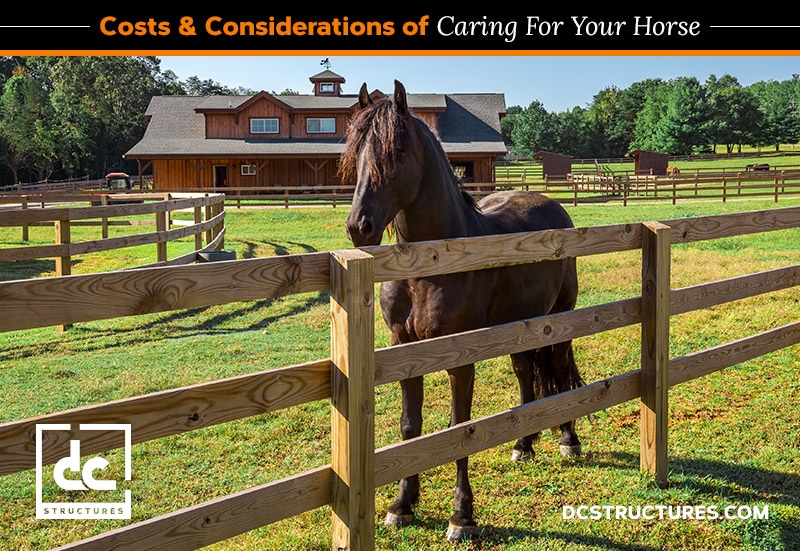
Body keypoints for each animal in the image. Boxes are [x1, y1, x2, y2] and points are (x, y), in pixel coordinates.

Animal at [340, 80, 584, 544]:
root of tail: (551, 206)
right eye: (355, 148)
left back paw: (568, 440)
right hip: (518, 326)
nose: (359, 226)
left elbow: (459, 428)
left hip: (559, 319)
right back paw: (524, 444)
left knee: (560, 370)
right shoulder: (404, 350)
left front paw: (461, 515)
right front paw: (402, 505)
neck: (431, 266)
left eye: (398, 151)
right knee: (526, 373)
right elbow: (410, 427)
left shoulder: (460, 357)